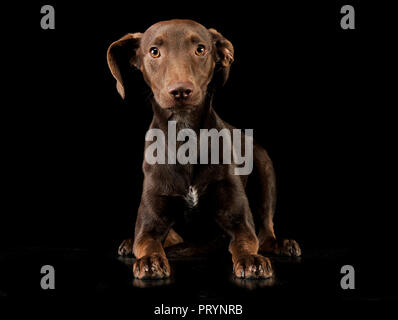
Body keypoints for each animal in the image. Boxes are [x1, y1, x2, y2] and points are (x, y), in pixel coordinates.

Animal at [107, 20, 300, 280]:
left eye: (200, 49)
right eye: (154, 51)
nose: (180, 90)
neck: (185, 138)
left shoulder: (239, 222)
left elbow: (246, 241)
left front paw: (251, 259)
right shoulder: (150, 225)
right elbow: (147, 242)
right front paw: (150, 260)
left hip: (264, 165)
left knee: (266, 230)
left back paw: (280, 243)